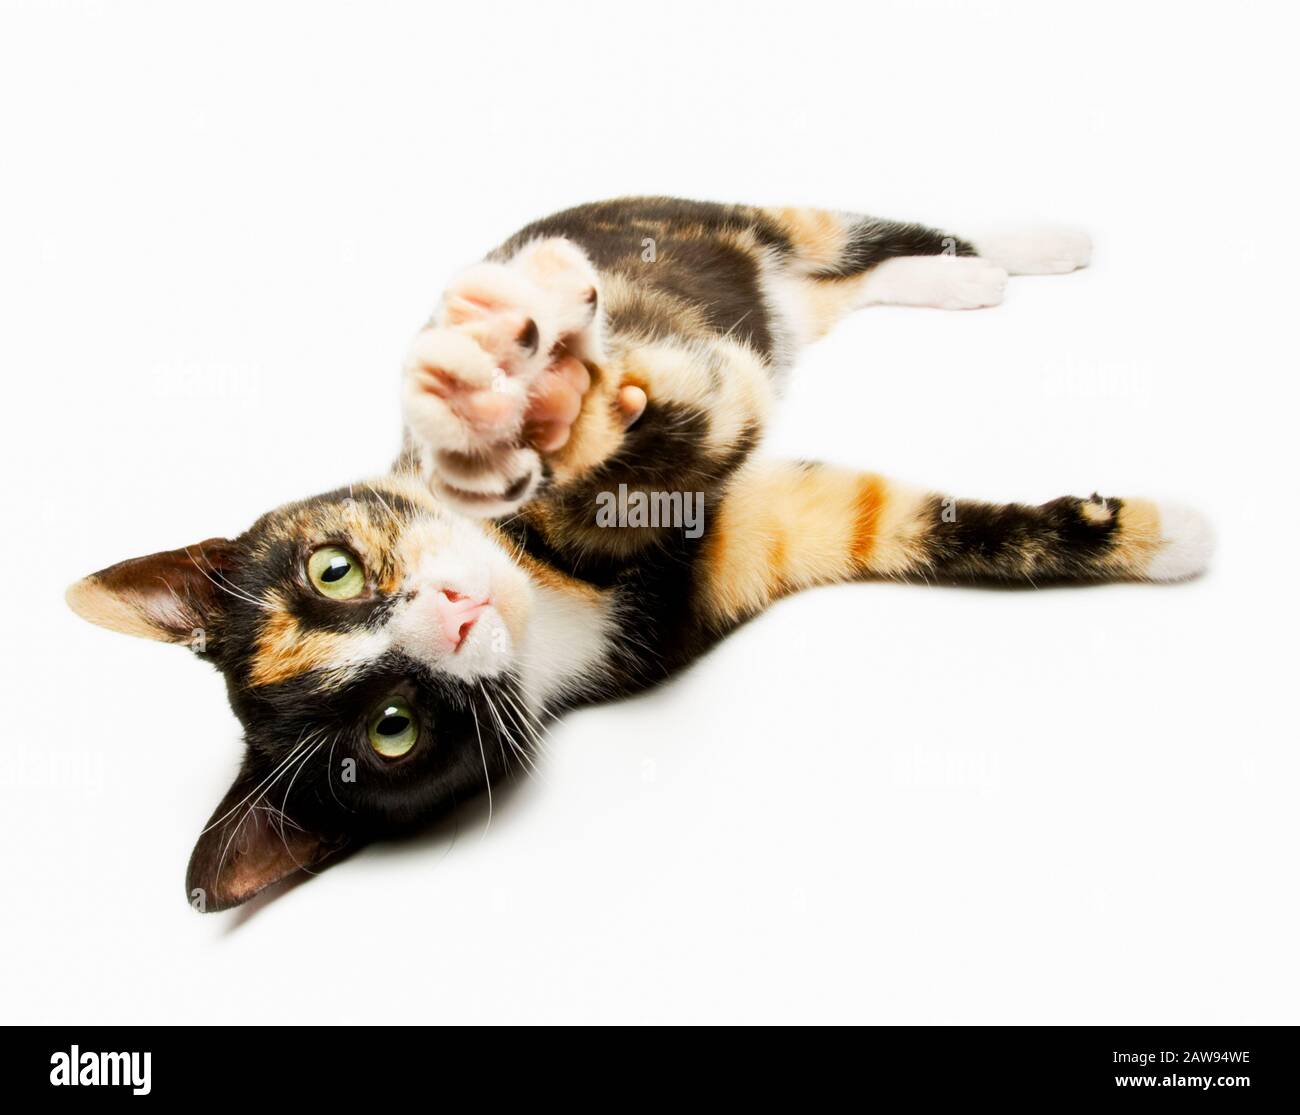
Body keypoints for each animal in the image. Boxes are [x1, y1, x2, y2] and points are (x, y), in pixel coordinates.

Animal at [65, 194, 1211, 909]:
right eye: (393, 730)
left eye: (330, 570)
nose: (453, 611)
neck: (552, 592)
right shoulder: (747, 547)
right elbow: (910, 521)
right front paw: (1166, 538)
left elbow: (648, 414)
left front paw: (516, 397)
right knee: (838, 292)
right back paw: (961, 286)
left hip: (713, 218)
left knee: (847, 228)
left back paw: (1031, 245)